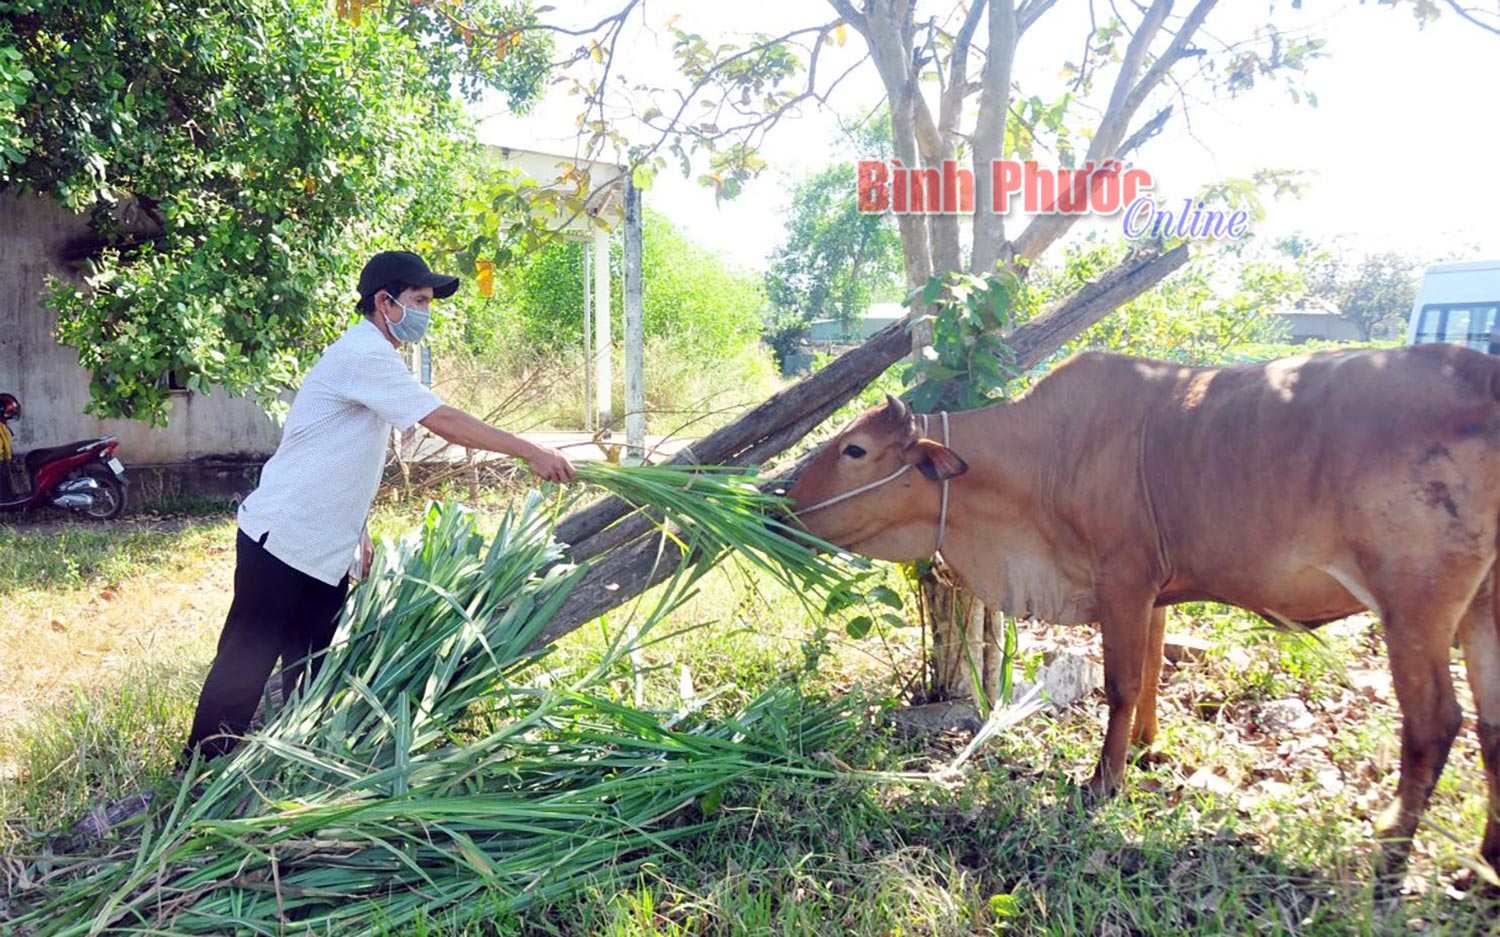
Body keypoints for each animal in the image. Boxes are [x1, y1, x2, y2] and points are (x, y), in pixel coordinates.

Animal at [786, 343, 1500, 875]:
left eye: (854, 450)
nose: (783, 504)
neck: (1041, 461)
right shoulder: (1157, 593)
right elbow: (1154, 671)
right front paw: (1149, 750)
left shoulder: (1123, 582)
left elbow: (1123, 683)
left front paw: (1103, 782)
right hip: (1483, 608)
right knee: (1491, 726)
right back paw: (1487, 858)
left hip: (1414, 602)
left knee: (1436, 723)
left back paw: (1392, 853)